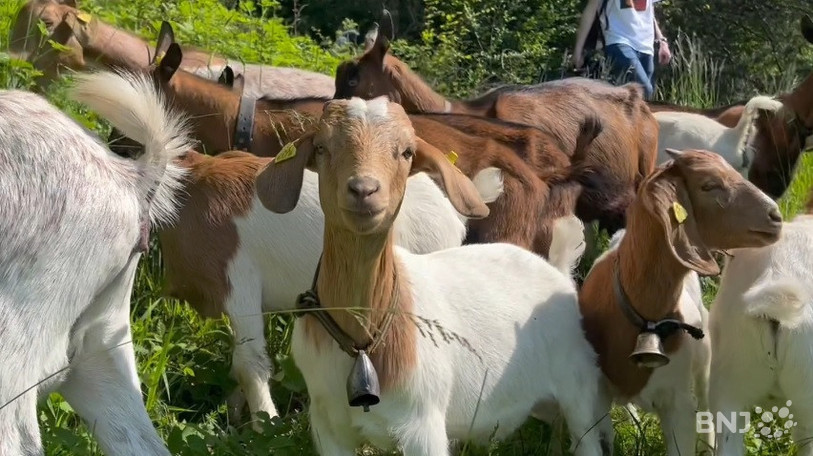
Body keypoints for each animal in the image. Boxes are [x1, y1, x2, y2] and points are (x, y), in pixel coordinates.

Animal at [256, 96, 606, 456]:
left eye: (407, 152)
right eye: (322, 147)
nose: (364, 189)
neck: (361, 340)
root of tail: (557, 271)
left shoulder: (423, 425)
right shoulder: (328, 424)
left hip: (579, 386)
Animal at [578, 148, 783, 456]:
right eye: (709, 185)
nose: (775, 216)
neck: (645, 321)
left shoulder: (679, 404)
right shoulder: (596, 395)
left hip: (705, 355)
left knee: (707, 402)